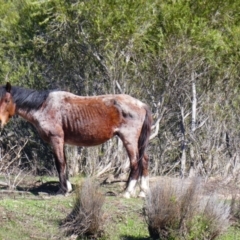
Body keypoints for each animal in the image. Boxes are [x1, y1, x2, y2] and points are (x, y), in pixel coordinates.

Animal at [0, 82, 152, 197]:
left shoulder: (56, 139)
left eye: (7, 100)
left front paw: (63, 190)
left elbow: (60, 163)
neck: (44, 106)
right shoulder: (61, 142)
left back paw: (127, 192)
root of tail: (141, 104)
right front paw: (67, 188)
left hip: (129, 139)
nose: (0, 122)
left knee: (135, 163)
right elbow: (64, 163)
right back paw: (142, 192)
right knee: (144, 161)